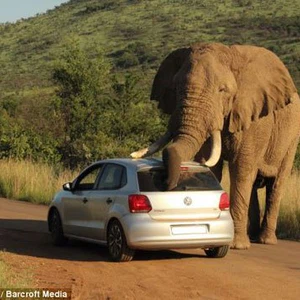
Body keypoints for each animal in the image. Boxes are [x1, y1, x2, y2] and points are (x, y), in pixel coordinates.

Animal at [131, 41, 300, 248]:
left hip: (291, 138)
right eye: (176, 87)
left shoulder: (255, 120)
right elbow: (212, 166)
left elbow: (240, 170)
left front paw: (236, 245)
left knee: (275, 184)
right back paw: (252, 237)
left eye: (222, 90)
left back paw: (265, 240)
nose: (164, 183)